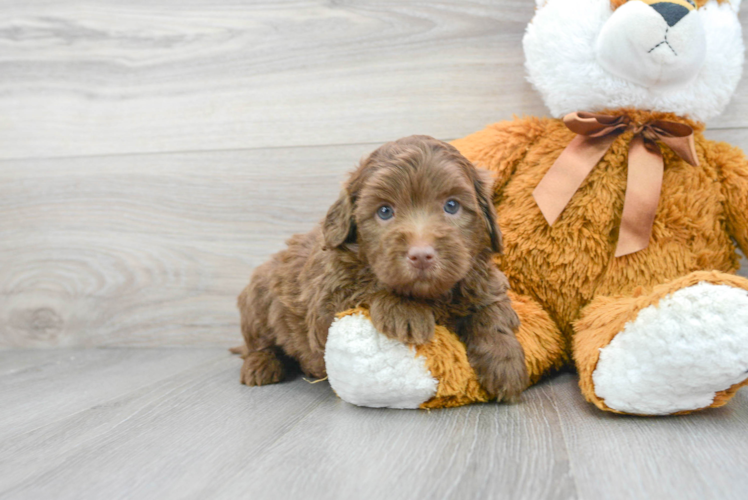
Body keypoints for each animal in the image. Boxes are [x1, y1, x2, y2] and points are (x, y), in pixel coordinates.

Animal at [237, 136, 528, 402]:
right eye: (385, 211)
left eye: (452, 205)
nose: (421, 255)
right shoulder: (324, 302)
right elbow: (367, 286)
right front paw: (406, 311)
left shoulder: (486, 282)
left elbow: (492, 313)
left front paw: (506, 364)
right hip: (258, 297)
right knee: (259, 342)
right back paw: (261, 366)